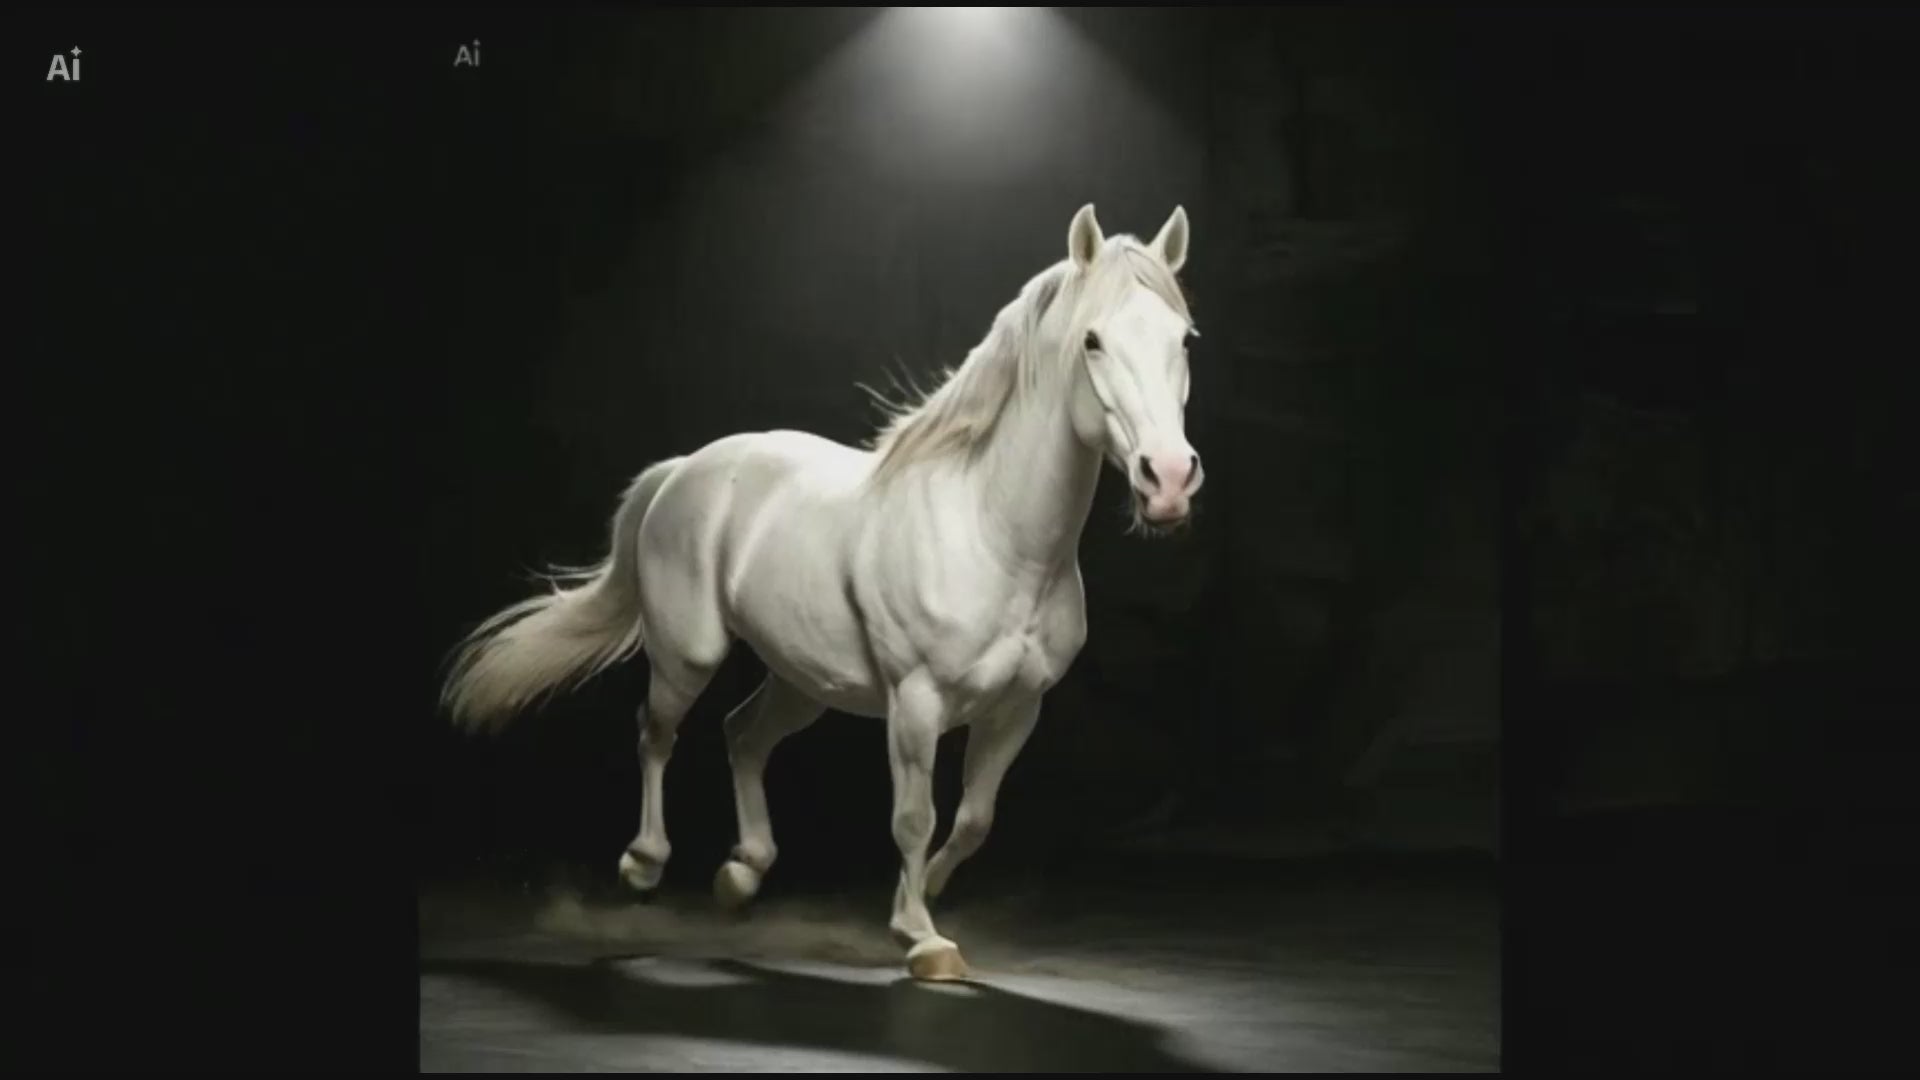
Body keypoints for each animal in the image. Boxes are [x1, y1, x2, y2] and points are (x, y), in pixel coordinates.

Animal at [441, 204, 1205, 981]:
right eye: (1092, 340)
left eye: (1183, 338)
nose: (1169, 480)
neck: (992, 536)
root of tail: (682, 469)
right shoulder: (916, 704)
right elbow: (915, 817)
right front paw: (920, 938)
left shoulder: (1018, 709)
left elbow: (973, 820)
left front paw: (927, 892)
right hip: (687, 654)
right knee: (657, 732)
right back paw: (644, 865)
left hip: (804, 683)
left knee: (742, 736)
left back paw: (740, 875)